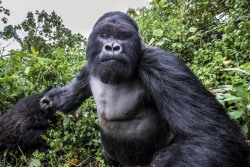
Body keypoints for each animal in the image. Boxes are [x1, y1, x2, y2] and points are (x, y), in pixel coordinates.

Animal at [40, 11, 249, 167]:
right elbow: (72, 95)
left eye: (123, 36)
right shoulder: (88, 68)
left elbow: (211, 136)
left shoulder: (161, 63)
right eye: (104, 35)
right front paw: (50, 101)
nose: (112, 47)